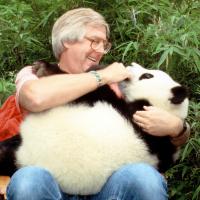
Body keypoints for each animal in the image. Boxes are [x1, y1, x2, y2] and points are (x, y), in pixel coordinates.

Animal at [0, 62, 188, 195]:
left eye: (147, 75)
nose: (131, 65)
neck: (163, 108)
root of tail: (22, 156)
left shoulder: (141, 117)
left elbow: (93, 92)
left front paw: (44, 67)